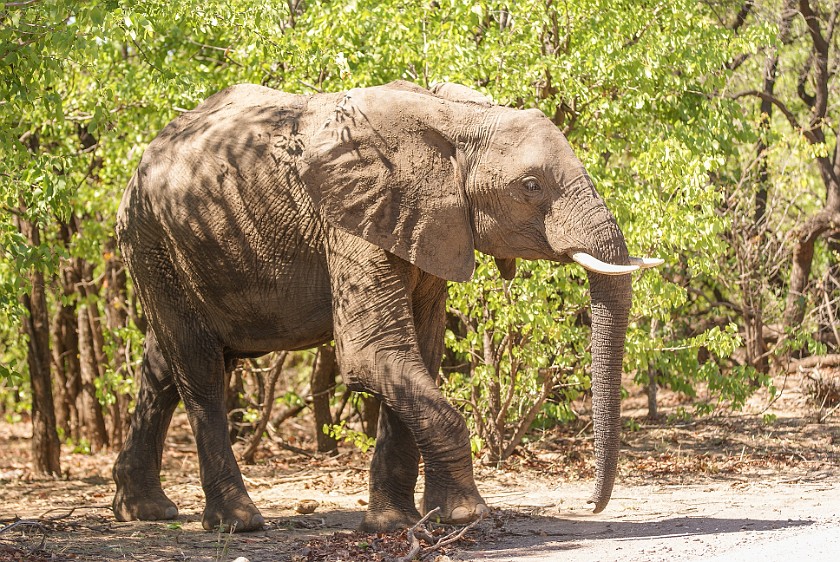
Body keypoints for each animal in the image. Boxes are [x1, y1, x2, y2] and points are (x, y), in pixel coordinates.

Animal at [111, 77, 664, 528]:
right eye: (530, 186)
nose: (591, 505)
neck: (455, 121)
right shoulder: (352, 223)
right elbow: (374, 355)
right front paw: (466, 517)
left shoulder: (426, 225)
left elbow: (419, 356)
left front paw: (395, 524)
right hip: (151, 238)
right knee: (201, 369)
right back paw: (237, 522)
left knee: (166, 364)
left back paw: (143, 510)